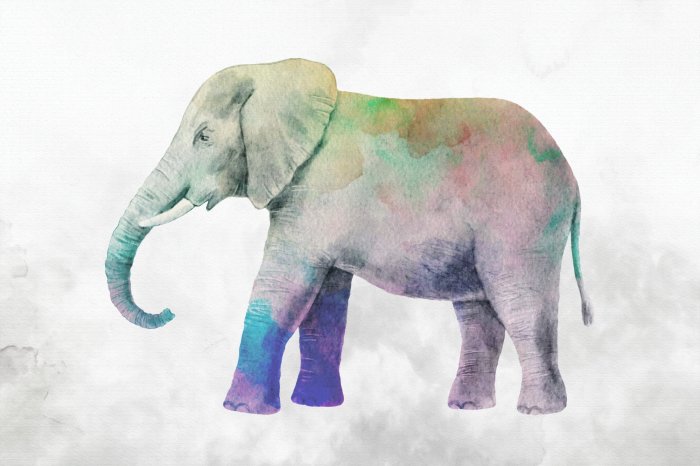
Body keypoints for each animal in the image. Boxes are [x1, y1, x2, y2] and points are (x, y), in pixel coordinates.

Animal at [106, 58, 592, 415]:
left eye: (204, 137)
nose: (169, 311)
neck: (276, 73)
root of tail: (571, 177)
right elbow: (324, 303)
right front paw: (315, 407)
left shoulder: (316, 198)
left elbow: (283, 289)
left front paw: (240, 411)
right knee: (478, 311)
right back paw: (469, 408)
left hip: (522, 218)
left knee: (521, 305)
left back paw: (537, 413)